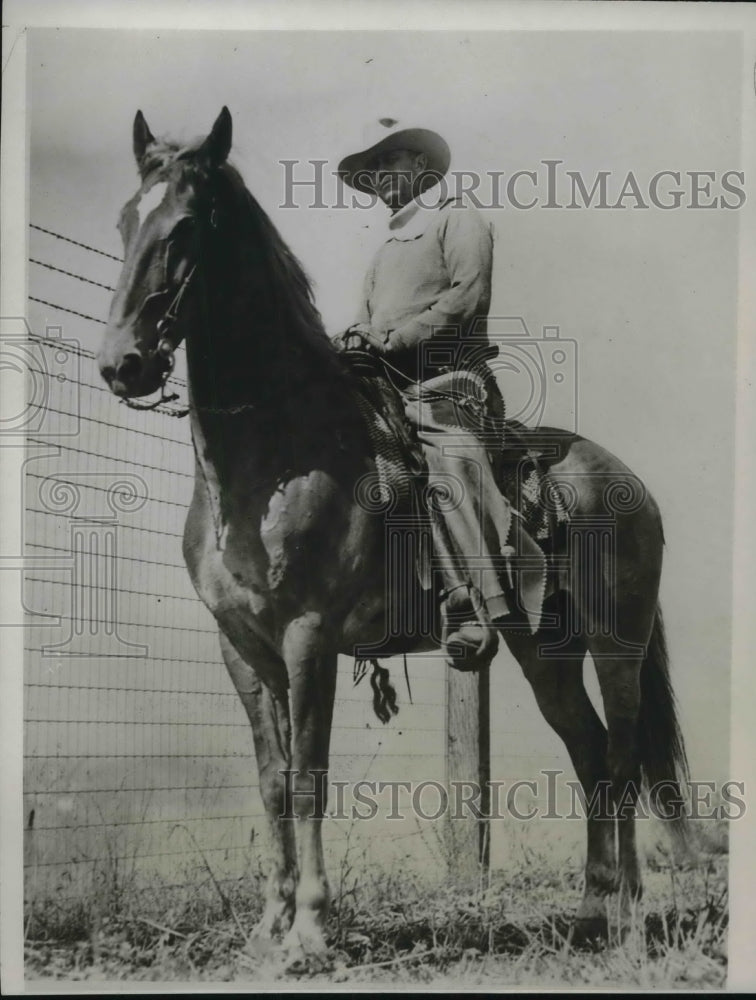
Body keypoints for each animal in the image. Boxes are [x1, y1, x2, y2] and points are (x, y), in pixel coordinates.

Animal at [97, 105, 688, 964]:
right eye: (124, 220)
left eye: (185, 226)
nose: (124, 365)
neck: (276, 455)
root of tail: (628, 480)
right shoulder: (241, 647)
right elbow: (273, 779)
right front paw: (268, 925)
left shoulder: (309, 636)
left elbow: (310, 775)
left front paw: (311, 927)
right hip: (545, 651)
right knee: (588, 756)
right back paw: (588, 914)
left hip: (617, 644)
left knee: (619, 755)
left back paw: (633, 925)